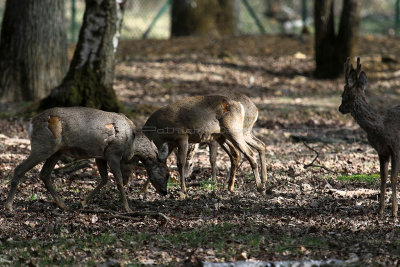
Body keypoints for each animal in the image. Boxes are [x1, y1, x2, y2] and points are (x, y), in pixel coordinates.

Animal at [4, 107, 170, 214]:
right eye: (167, 174)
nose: (165, 192)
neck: (132, 143)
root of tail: (31, 123)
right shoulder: (113, 153)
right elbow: (118, 181)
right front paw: (127, 208)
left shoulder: (100, 156)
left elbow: (104, 179)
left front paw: (83, 202)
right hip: (43, 146)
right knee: (20, 169)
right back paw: (9, 206)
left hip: (56, 151)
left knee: (44, 174)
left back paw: (63, 205)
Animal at [340, 57, 400, 219]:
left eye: (342, 94)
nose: (340, 109)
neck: (380, 125)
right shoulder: (382, 151)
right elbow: (383, 177)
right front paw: (380, 210)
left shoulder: (396, 147)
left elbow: (393, 177)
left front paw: (394, 212)